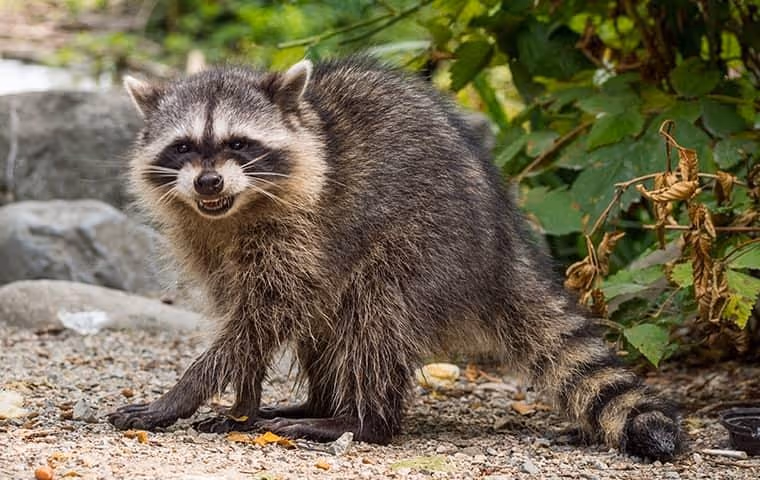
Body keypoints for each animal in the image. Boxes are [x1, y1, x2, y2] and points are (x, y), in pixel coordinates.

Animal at [107, 57, 683, 460]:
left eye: (238, 144)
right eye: (183, 147)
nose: (208, 182)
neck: (234, 211)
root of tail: (503, 244)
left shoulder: (304, 231)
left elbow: (262, 319)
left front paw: (184, 393)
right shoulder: (206, 241)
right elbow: (246, 318)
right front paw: (242, 403)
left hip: (427, 246)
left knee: (375, 316)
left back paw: (359, 422)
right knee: (330, 324)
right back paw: (318, 403)